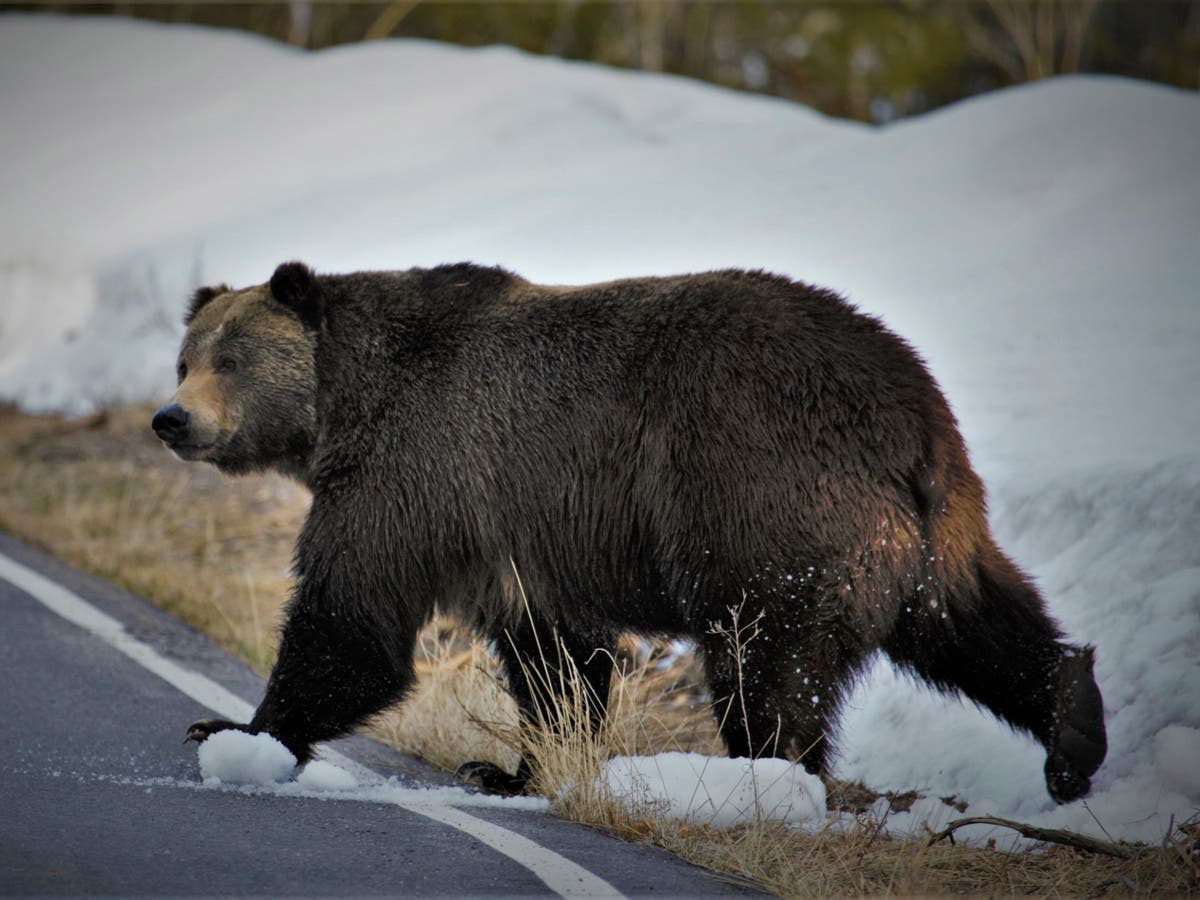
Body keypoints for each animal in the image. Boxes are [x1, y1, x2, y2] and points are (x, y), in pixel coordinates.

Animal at [154, 260, 1108, 801]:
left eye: (230, 359)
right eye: (185, 358)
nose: (171, 418)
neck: (343, 409)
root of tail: (914, 412)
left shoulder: (416, 471)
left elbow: (352, 619)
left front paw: (237, 729)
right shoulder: (516, 537)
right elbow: (556, 660)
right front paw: (509, 769)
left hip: (765, 502)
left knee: (767, 665)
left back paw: (767, 777)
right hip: (933, 532)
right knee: (975, 622)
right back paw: (1075, 730)